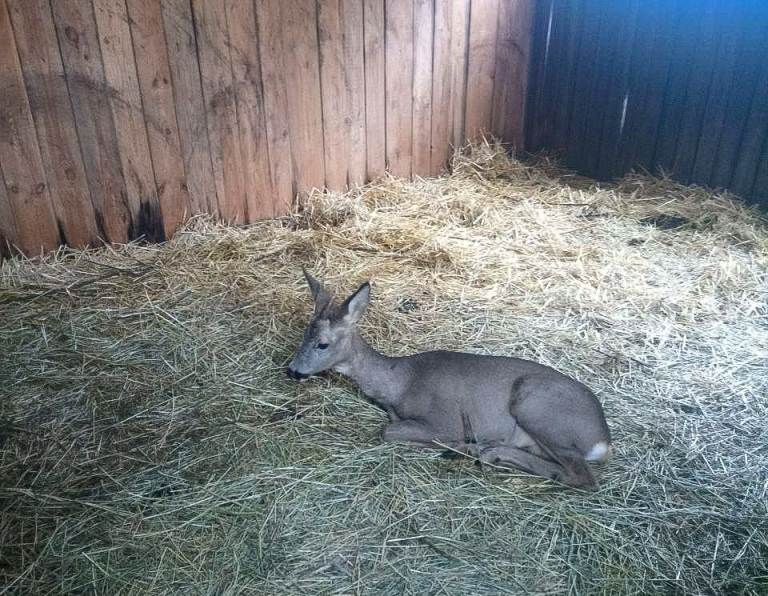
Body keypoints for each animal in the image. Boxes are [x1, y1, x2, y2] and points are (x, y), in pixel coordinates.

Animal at [288, 270, 612, 488]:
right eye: (303, 334)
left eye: (323, 344)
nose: (291, 370)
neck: (400, 383)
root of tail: (603, 439)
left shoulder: (443, 419)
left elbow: (388, 432)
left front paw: (452, 444)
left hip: (537, 409)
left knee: (583, 477)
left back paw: (481, 450)